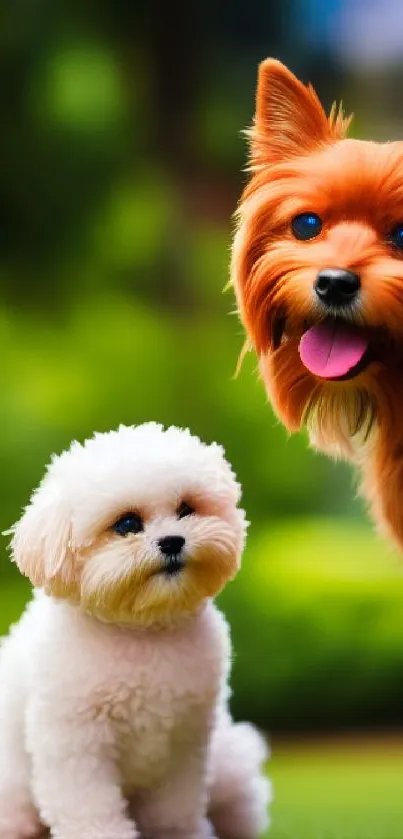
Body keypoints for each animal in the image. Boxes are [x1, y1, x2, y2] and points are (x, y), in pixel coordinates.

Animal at [0, 424, 274, 839]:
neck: (141, 629)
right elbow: (90, 807)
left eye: (186, 509)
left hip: (228, 762)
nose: (172, 540)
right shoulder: (77, 743)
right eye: (127, 524)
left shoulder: (185, 742)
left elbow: (174, 809)